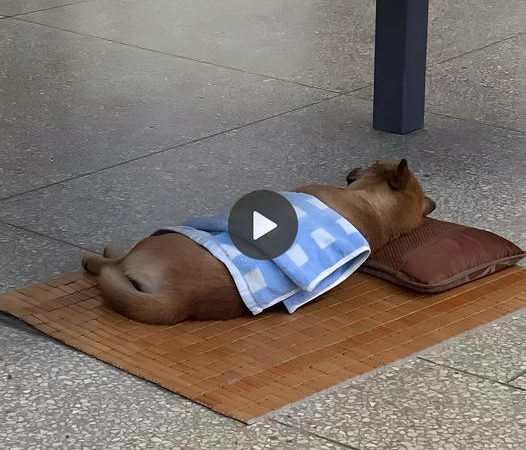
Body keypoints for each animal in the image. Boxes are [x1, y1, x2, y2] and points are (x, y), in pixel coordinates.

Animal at [82, 160, 438, 326]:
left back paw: (100, 257)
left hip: (157, 241)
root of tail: (180, 300)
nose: (352, 168)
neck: (376, 213)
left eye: (375, 162)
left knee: (113, 263)